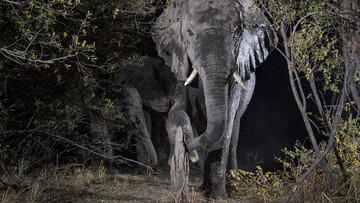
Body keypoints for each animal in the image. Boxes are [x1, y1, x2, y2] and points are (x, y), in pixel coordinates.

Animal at [152, 0, 278, 198]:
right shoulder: (180, 63)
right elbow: (177, 110)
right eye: (190, 33)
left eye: (236, 34)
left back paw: (231, 184)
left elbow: (225, 125)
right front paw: (185, 139)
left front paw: (218, 196)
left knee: (234, 132)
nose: (188, 147)